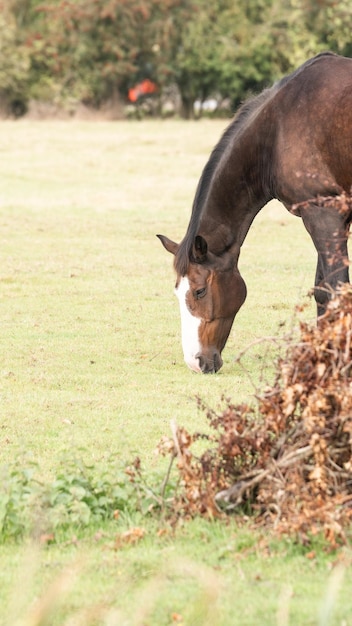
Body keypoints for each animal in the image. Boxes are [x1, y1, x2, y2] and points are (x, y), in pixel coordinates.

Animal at [158, 52, 352, 370]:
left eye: (199, 291)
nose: (196, 362)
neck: (276, 129)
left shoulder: (323, 215)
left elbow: (334, 289)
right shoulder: (334, 217)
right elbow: (322, 291)